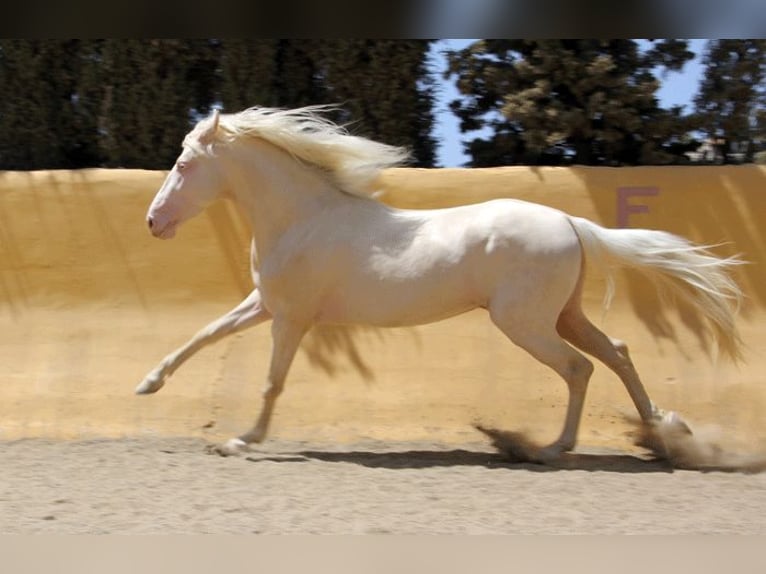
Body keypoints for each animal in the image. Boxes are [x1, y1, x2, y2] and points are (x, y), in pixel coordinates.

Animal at [138, 104, 744, 464]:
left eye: (185, 165)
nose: (153, 222)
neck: (302, 216)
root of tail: (571, 223)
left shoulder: (291, 317)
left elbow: (271, 382)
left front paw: (243, 439)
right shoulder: (265, 304)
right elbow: (204, 334)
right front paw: (148, 384)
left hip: (523, 322)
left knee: (580, 368)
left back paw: (555, 448)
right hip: (563, 314)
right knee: (616, 352)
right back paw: (664, 430)